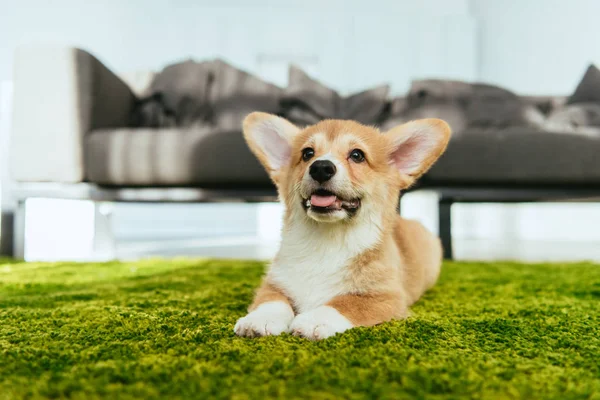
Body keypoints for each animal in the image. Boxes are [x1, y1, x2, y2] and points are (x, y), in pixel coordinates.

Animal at [234, 112, 450, 340]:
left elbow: (347, 303)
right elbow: (271, 301)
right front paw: (259, 320)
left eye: (357, 155)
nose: (320, 167)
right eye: (307, 153)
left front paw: (314, 320)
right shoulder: (274, 282)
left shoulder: (387, 298)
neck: (327, 240)